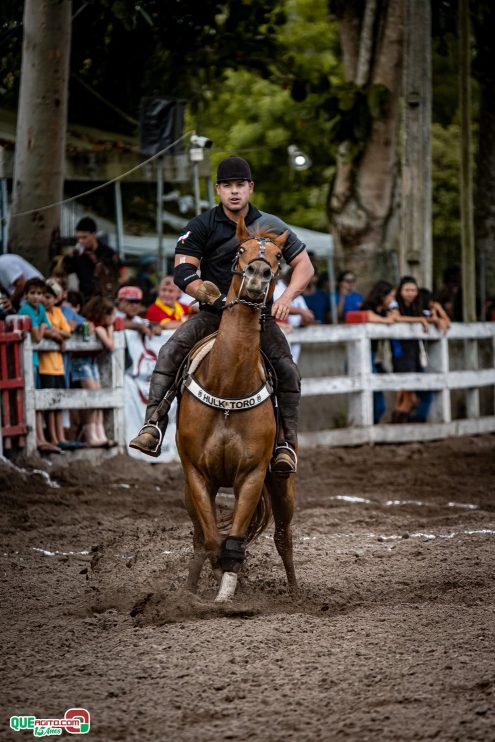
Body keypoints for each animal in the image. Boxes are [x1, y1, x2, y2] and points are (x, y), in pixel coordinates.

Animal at [176, 215, 296, 604]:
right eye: (240, 250)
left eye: (278, 256)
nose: (258, 276)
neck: (228, 385)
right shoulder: (198, 475)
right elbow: (214, 541)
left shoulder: (253, 475)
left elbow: (235, 540)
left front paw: (229, 588)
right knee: (200, 538)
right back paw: (190, 589)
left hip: (281, 484)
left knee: (283, 536)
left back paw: (296, 593)